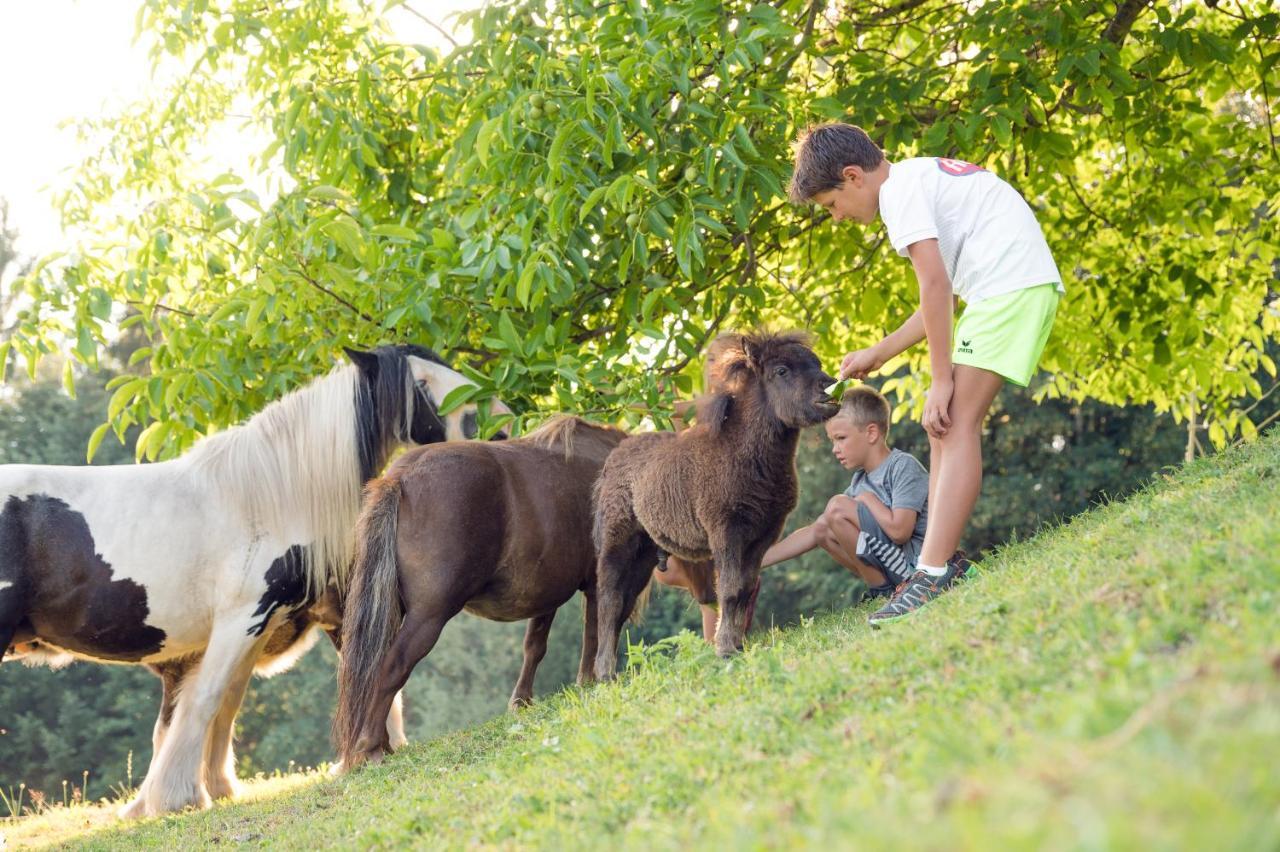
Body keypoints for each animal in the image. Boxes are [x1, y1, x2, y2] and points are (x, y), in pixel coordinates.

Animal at [0, 342, 504, 818]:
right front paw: (180, 797)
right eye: (421, 382)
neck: (268, 495)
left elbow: (226, 703)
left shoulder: (254, 627)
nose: (496, 421)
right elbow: (205, 701)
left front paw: (214, 787)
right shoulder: (242, 619)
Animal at [332, 414, 627, 767]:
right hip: (428, 617)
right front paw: (590, 680)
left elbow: (536, 646)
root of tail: (400, 479)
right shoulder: (597, 581)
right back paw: (371, 747)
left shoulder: (547, 595)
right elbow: (597, 629)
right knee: (393, 666)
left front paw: (522, 701)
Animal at [591, 332, 834, 665]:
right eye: (782, 371)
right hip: (617, 544)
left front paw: (738, 645)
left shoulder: (763, 535)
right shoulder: (725, 530)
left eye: (817, 363)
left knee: (622, 607)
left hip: (644, 554)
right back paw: (605, 673)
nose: (830, 386)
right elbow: (729, 589)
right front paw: (725, 649)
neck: (743, 454)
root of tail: (611, 461)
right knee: (608, 603)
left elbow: (745, 589)